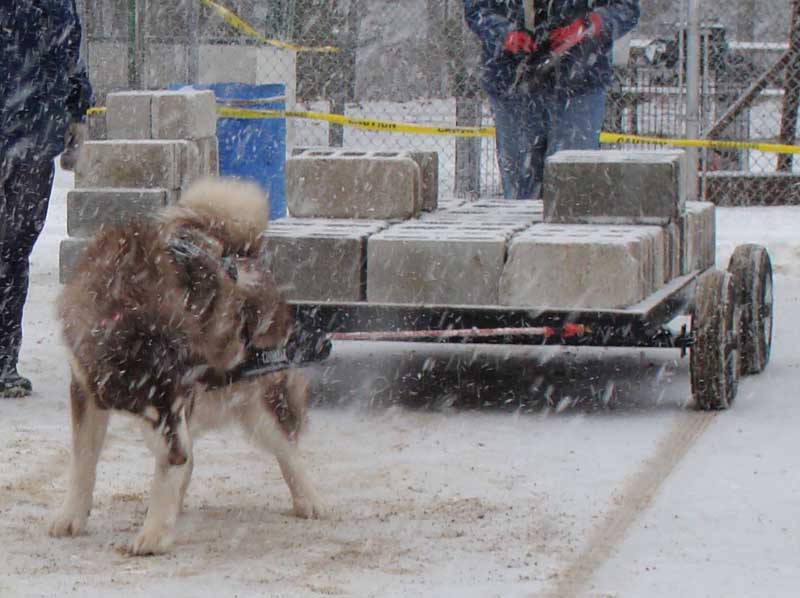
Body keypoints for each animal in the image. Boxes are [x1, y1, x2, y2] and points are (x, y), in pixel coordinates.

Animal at [48, 178, 324, 556]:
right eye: (148, 411)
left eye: (178, 403)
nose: (177, 454)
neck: (128, 306)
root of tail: (247, 255)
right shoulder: (85, 387)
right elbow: (83, 459)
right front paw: (72, 515)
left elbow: (165, 473)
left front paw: (154, 533)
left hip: (260, 403)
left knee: (287, 446)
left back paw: (308, 497)